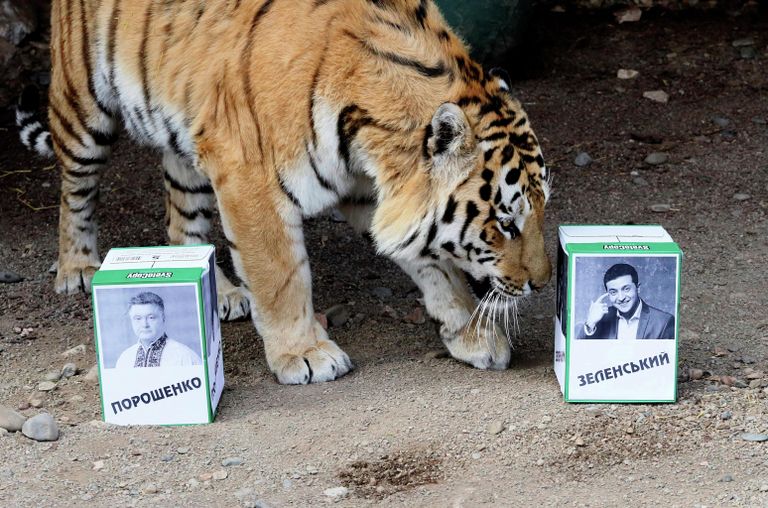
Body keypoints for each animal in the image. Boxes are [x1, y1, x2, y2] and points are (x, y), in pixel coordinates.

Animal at [17, 0, 552, 384]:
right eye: (505, 222)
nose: (543, 285)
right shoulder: (250, 178)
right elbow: (281, 277)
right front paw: (305, 353)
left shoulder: (373, 195)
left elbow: (435, 264)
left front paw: (471, 333)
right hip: (82, 105)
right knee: (75, 188)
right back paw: (77, 267)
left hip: (189, 138)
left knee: (182, 219)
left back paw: (223, 293)